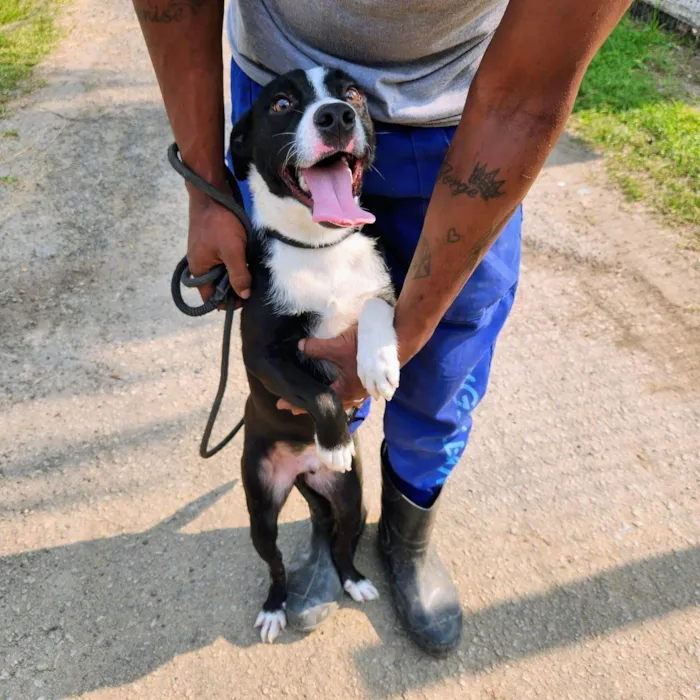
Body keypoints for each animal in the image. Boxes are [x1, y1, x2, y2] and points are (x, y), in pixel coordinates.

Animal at [231, 68, 400, 644]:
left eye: (352, 94)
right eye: (281, 103)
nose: (336, 116)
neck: (319, 249)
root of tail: (302, 472)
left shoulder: (377, 290)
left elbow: (373, 307)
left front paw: (379, 363)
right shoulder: (263, 355)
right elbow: (319, 392)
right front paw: (334, 438)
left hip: (353, 497)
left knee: (343, 542)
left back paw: (355, 580)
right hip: (261, 505)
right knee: (275, 564)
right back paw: (274, 607)